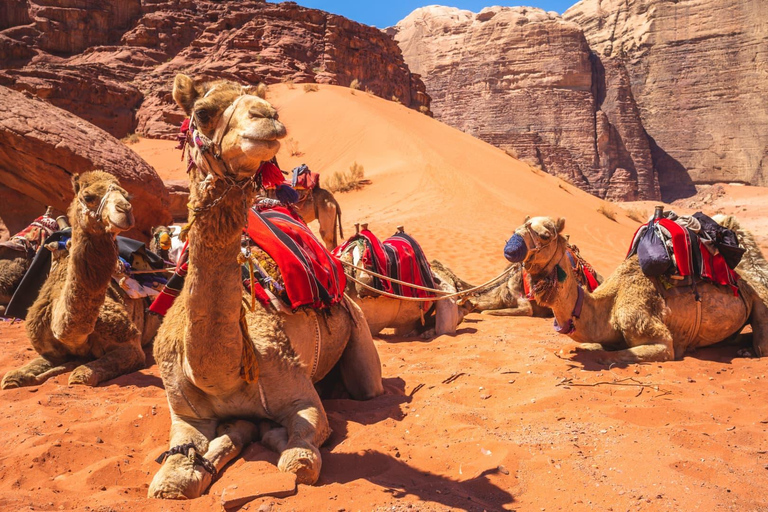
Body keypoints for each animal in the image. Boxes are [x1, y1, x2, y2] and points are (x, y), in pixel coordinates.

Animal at [1, 171, 161, 389]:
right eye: (88, 196)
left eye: (127, 195)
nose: (125, 210)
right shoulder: (50, 351)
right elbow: (14, 376)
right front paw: (19, 377)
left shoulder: (131, 346)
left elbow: (82, 375)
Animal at [148, 74, 383, 499]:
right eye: (202, 112)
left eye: (267, 106)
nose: (267, 116)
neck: (220, 374)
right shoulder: (184, 414)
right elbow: (169, 481)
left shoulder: (301, 396)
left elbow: (299, 460)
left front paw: (270, 437)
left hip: (359, 336)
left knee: (366, 387)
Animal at [504, 216, 768, 364]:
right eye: (516, 229)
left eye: (544, 235)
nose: (511, 248)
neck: (607, 308)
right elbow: (580, 346)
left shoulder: (658, 338)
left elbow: (609, 355)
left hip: (760, 302)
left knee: (761, 345)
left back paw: (748, 351)